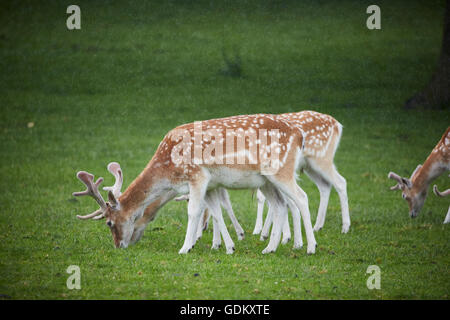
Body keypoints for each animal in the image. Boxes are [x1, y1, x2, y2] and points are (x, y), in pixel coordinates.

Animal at [74, 114, 318, 254]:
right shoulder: (210, 183)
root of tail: (299, 135)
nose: (118, 246)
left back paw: (310, 247)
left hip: (281, 170)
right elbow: (215, 212)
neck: (169, 171)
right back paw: (269, 248)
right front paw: (227, 247)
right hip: (265, 180)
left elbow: (193, 210)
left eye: (109, 223)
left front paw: (185, 248)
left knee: (302, 197)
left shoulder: (197, 175)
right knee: (280, 206)